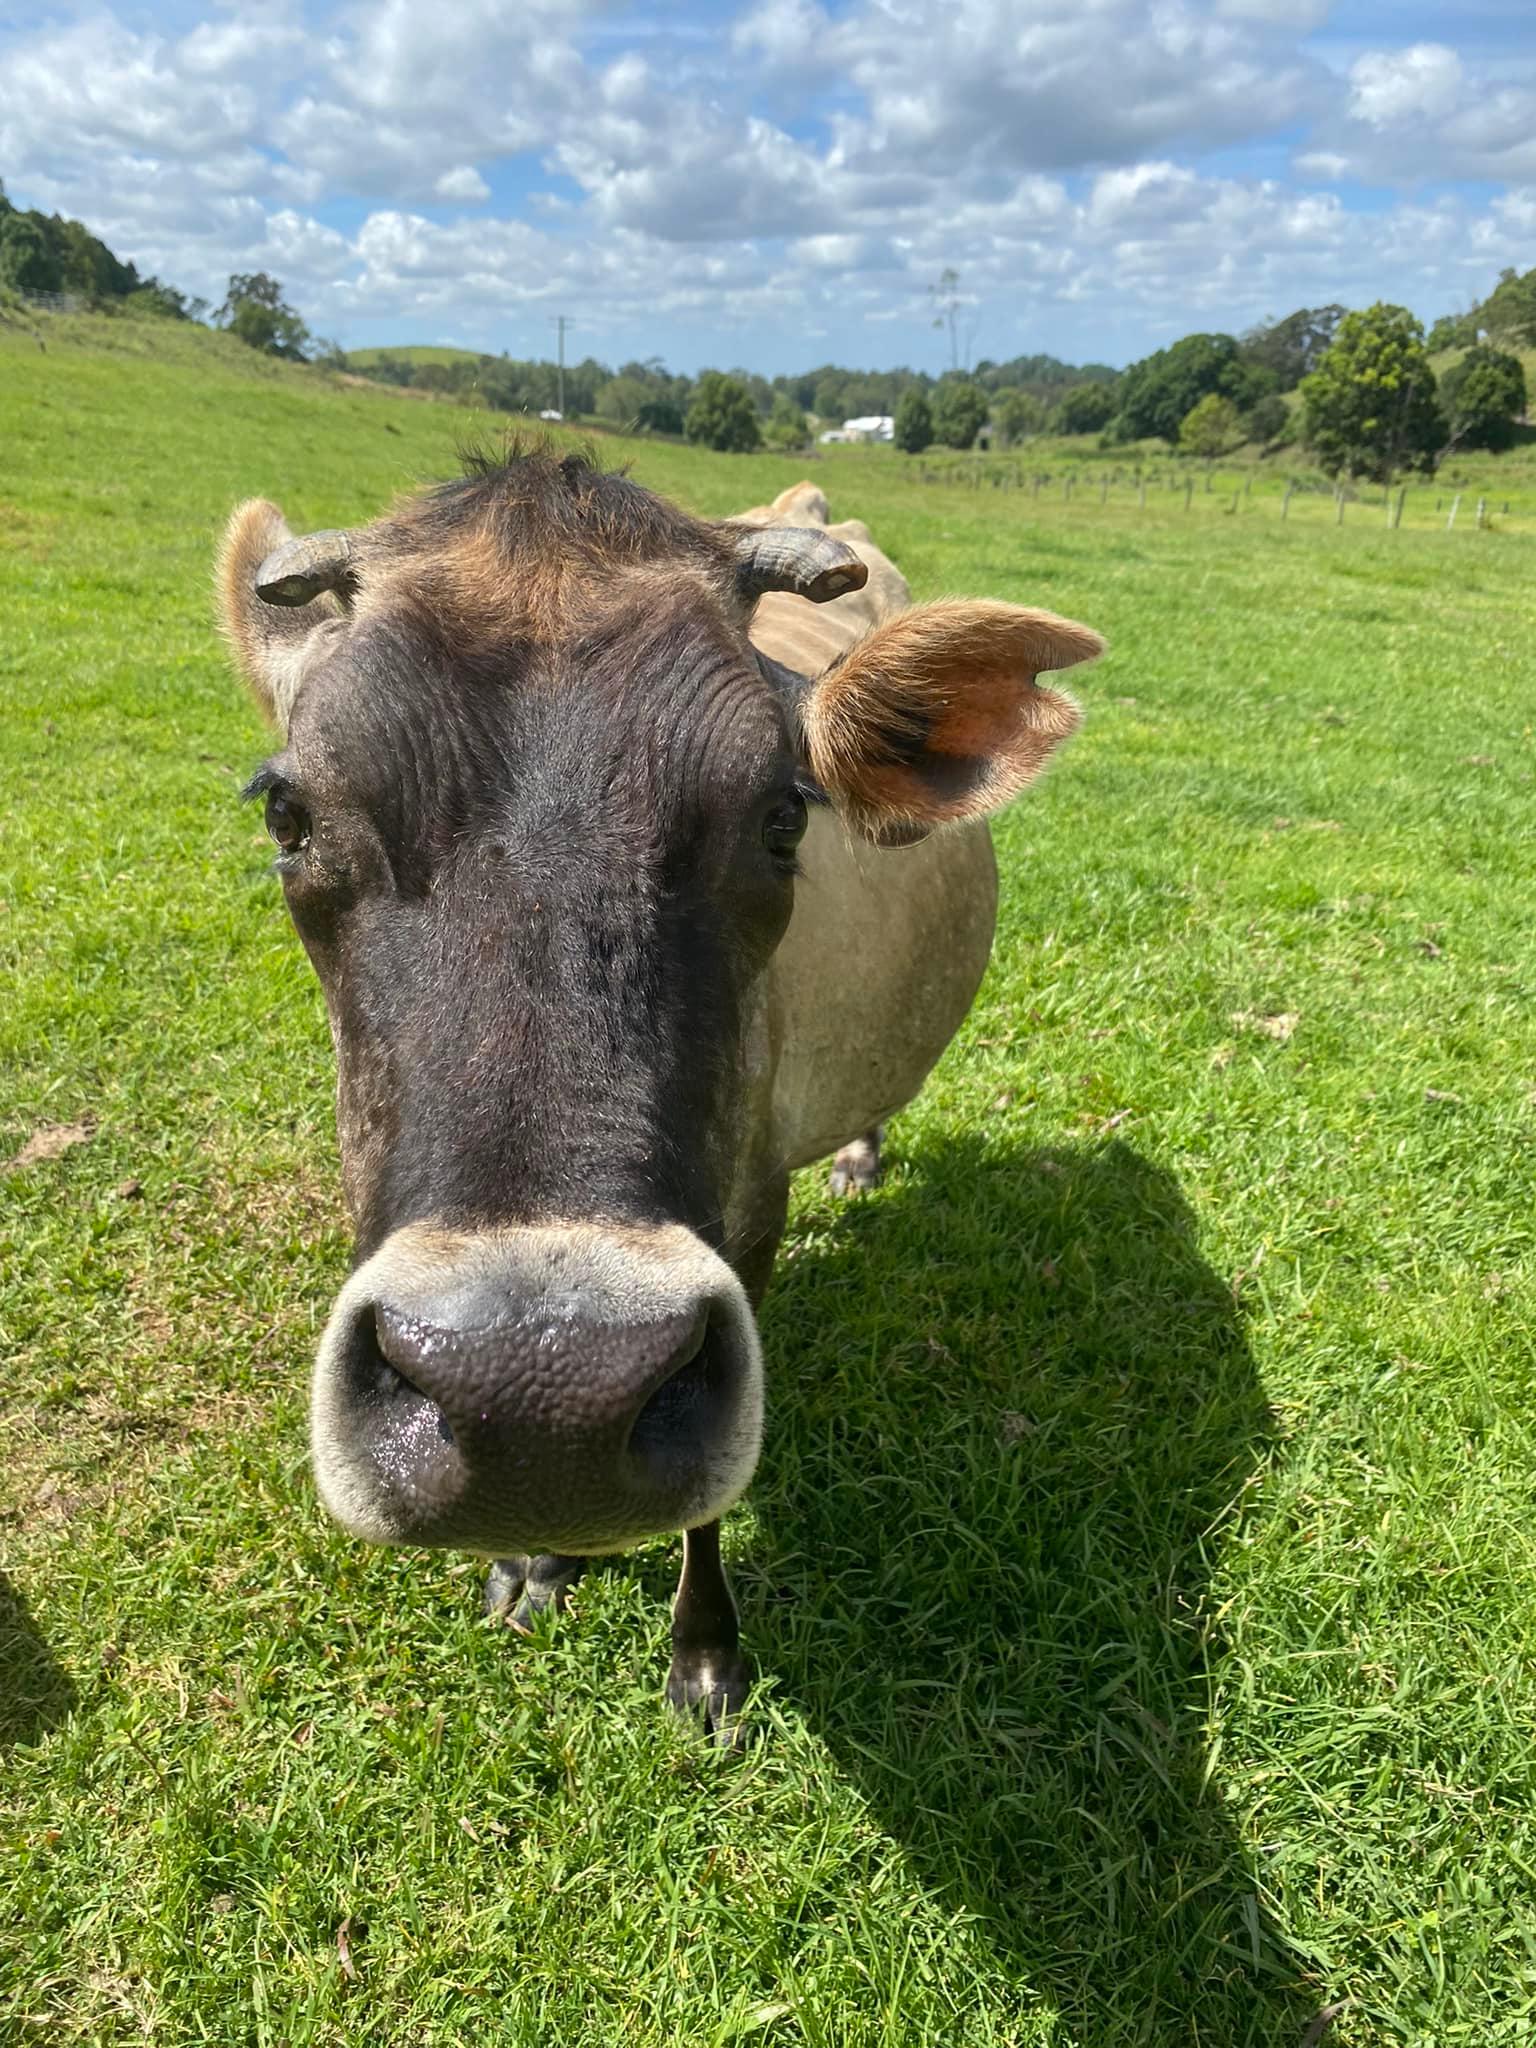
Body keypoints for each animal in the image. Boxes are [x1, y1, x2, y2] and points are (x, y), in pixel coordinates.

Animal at [216, 451, 1103, 1737]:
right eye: (289, 812)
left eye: (782, 815)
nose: (539, 1397)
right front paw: (540, 1558)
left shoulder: (753, 1200)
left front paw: (706, 1653)